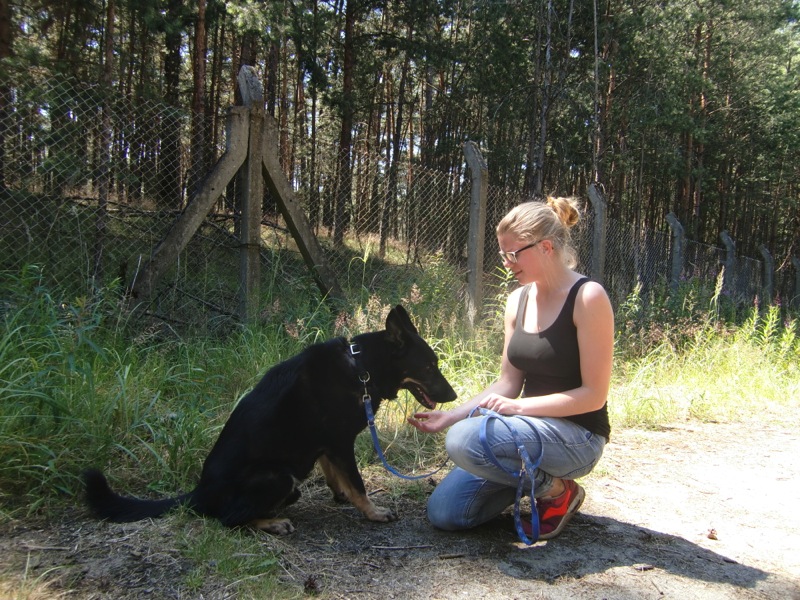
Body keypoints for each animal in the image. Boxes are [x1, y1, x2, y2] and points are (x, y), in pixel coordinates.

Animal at [83, 305, 456, 534]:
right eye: (429, 367)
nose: (454, 397)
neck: (359, 368)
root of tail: (198, 493)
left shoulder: (326, 446)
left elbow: (337, 476)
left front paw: (342, 496)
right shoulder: (339, 442)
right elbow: (358, 483)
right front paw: (374, 512)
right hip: (279, 476)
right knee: (228, 519)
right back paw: (273, 523)